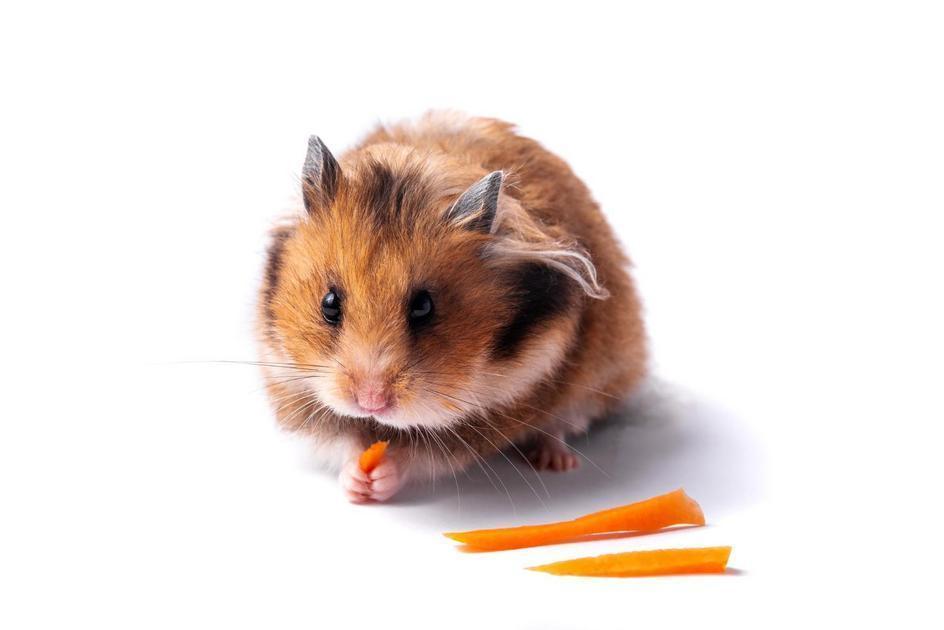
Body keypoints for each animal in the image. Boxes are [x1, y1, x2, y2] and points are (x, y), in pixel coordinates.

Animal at [258, 112, 647, 502]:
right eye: (329, 303)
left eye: (424, 308)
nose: (371, 403)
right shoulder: (293, 386)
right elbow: (345, 440)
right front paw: (359, 484)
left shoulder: (504, 402)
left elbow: (422, 455)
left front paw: (381, 476)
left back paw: (556, 462)